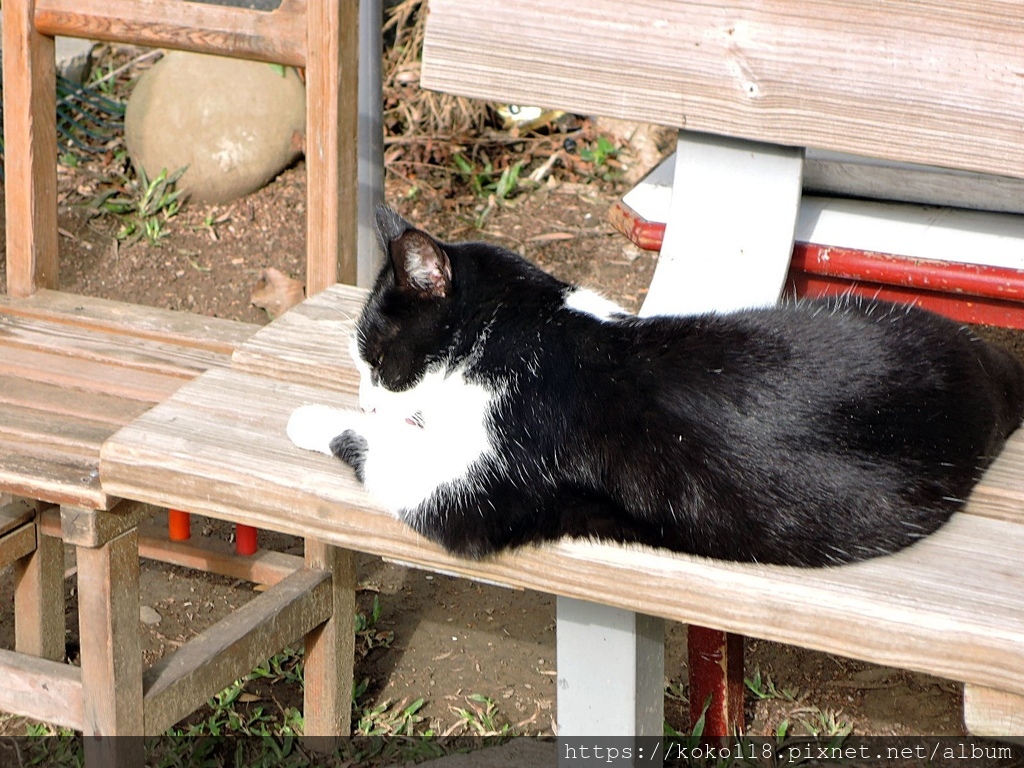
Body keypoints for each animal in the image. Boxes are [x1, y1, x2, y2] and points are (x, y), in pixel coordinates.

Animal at [286, 207, 1024, 569]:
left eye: (381, 359)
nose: (368, 396)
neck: (524, 332)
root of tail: (988, 365)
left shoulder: (463, 492)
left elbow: (373, 446)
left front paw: (310, 418)